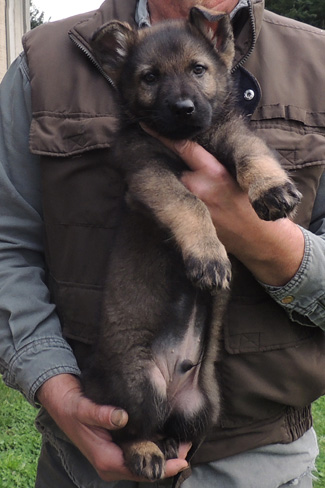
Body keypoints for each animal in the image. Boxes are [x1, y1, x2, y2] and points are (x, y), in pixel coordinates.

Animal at [81, 5, 302, 482]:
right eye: (149, 77)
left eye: (198, 70)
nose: (183, 109)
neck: (191, 139)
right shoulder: (148, 172)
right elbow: (190, 202)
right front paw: (208, 256)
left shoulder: (230, 134)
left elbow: (252, 151)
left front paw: (272, 187)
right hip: (141, 387)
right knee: (128, 429)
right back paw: (145, 450)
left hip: (204, 408)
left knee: (175, 429)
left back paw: (166, 443)